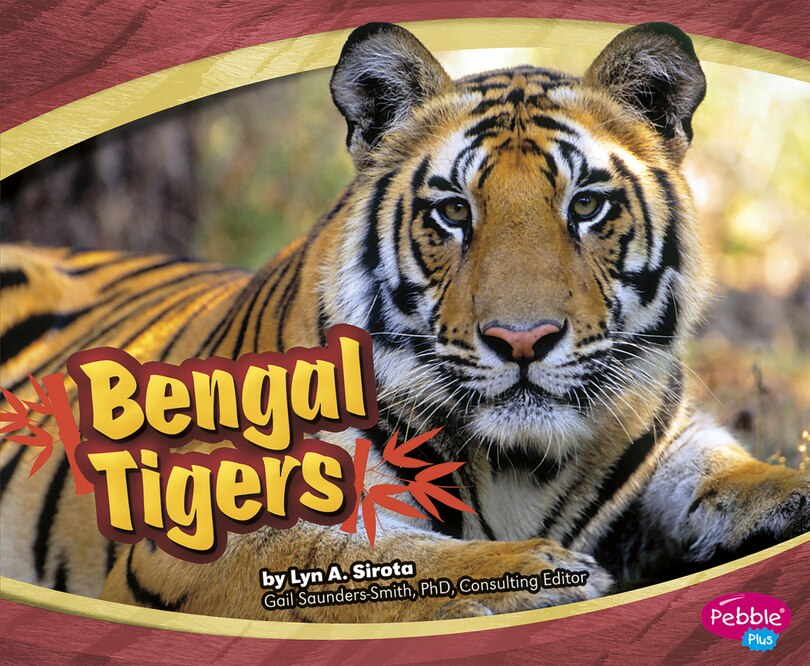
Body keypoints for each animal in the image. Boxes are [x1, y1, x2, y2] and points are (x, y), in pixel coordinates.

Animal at [1, 22, 808, 623]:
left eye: (586, 205)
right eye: (453, 211)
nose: (522, 341)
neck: (522, 465)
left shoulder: (669, 435)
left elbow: (727, 469)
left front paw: (786, 499)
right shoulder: (198, 538)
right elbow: (356, 562)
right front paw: (533, 575)